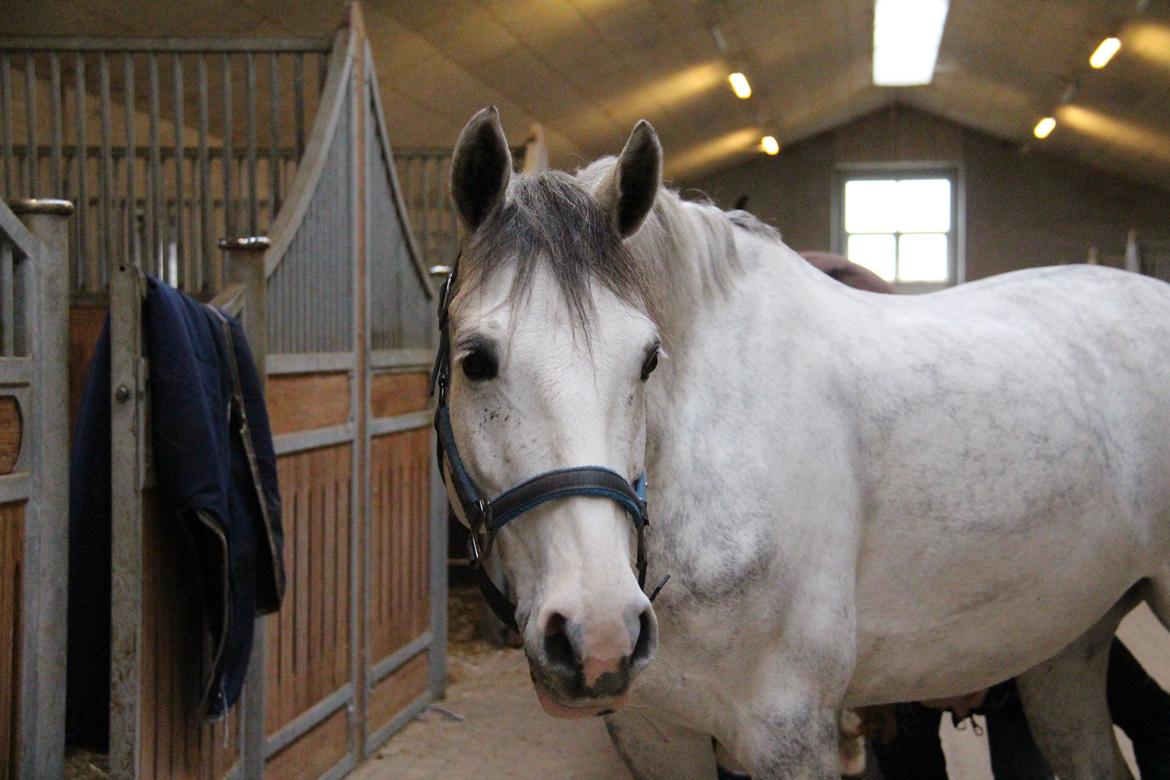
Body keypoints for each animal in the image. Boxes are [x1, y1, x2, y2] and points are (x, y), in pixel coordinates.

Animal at [437, 107, 1170, 776]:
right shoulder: (654, 733)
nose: (601, 632)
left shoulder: (787, 730)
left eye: (648, 359)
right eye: (476, 360)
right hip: (1067, 644)